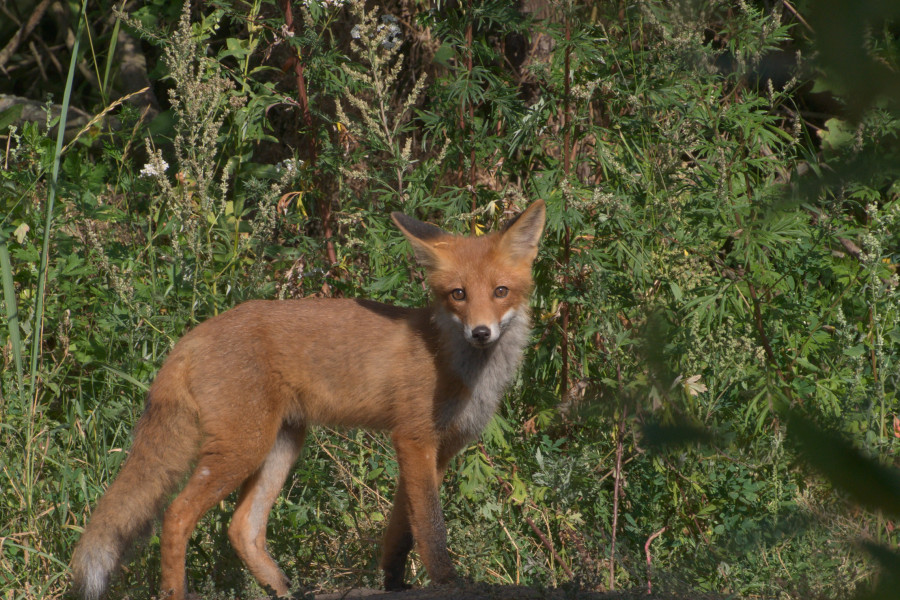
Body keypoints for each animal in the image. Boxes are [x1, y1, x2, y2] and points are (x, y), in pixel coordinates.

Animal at [69, 200, 546, 600]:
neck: (454, 361)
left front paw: (394, 584)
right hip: (242, 447)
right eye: (458, 294)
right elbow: (431, 527)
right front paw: (447, 581)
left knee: (242, 528)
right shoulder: (414, 439)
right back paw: (176, 592)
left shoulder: (438, 450)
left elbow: (401, 531)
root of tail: (191, 337)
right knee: (177, 516)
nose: (481, 332)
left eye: (501, 291)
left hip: (282, 445)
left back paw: (282, 590)